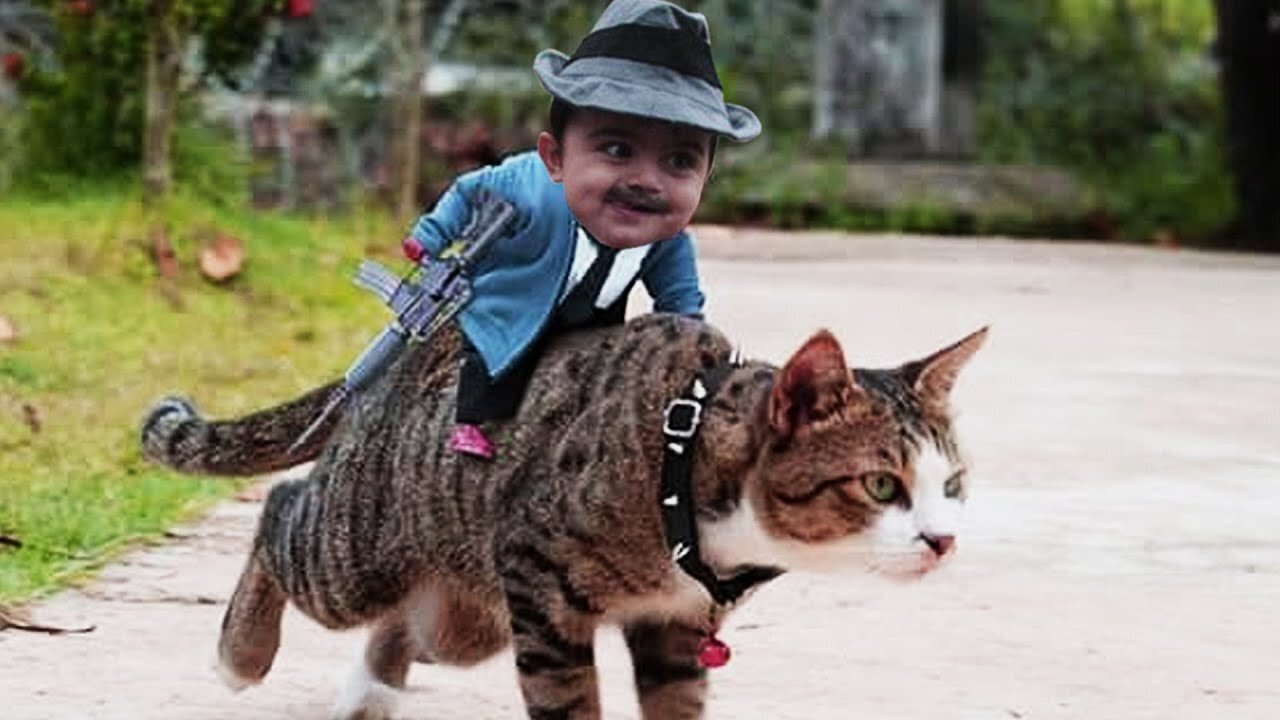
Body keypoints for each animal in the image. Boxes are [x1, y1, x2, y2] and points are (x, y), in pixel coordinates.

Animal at [140, 313, 983, 717]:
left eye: (953, 483)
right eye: (881, 485)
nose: (945, 541)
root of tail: (413, 353)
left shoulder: (674, 625)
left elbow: (677, 704)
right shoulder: (540, 581)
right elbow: (571, 703)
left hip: (469, 611)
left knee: (414, 624)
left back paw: (371, 692)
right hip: (361, 552)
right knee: (285, 515)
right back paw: (242, 654)